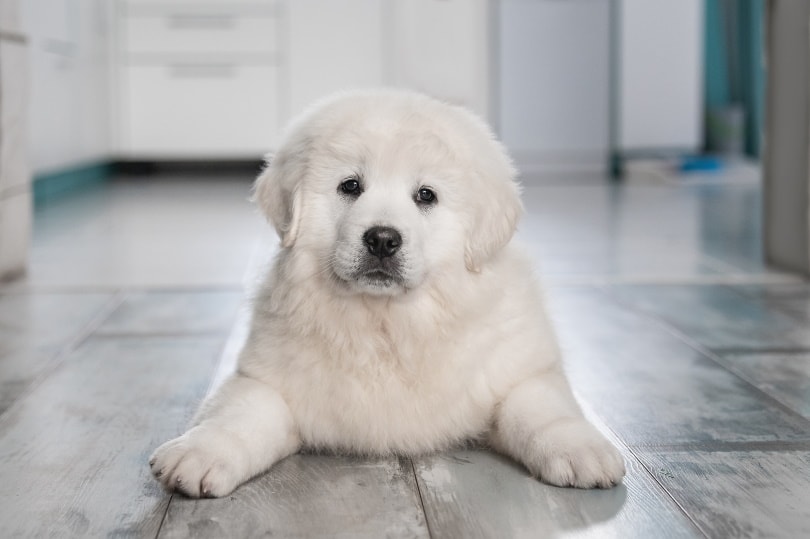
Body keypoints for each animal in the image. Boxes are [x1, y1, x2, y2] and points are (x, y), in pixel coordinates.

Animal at [148, 88, 620, 498]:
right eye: (350, 186)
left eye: (425, 195)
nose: (382, 239)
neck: (387, 323)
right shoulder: (267, 378)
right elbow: (240, 414)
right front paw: (198, 452)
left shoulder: (521, 369)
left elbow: (541, 408)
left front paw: (582, 450)